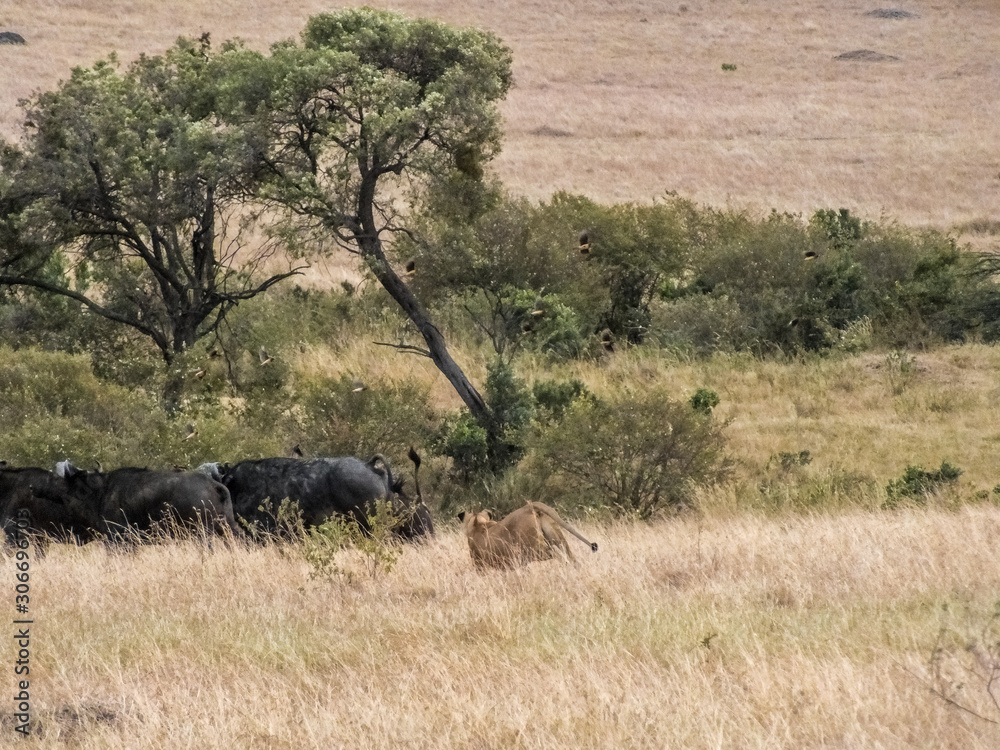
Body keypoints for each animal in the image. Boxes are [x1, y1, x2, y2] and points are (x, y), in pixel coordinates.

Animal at [458, 501, 598, 569]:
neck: (478, 525)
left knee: (557, 553)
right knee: (572, 558)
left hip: (533, 549)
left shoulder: (480, 565)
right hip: (558, 539)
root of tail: (529, 506)